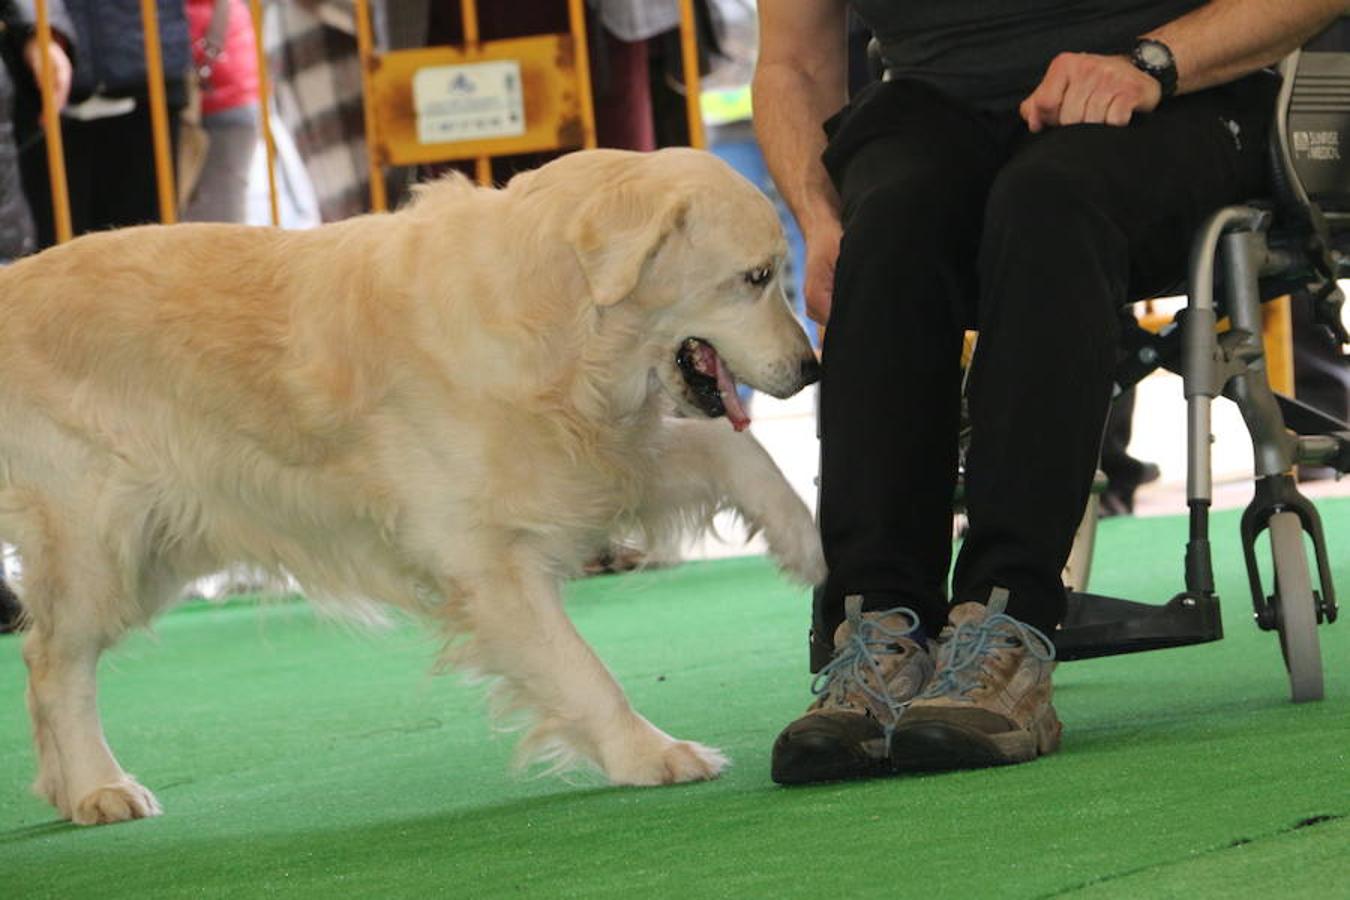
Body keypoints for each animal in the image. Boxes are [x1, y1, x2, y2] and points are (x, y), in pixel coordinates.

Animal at [0, 146, 820, 825]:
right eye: (755, 278)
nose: (812, 368)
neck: (553, 314)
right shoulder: (486, 559)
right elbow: (581, 670)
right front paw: (651, 754)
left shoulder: (594, 462)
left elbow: (735, 453)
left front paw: (810, 549)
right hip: (100, 541)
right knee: (54, 663)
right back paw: (100, 787)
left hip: (156, 545)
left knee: (43, 656)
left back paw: (68, 790)